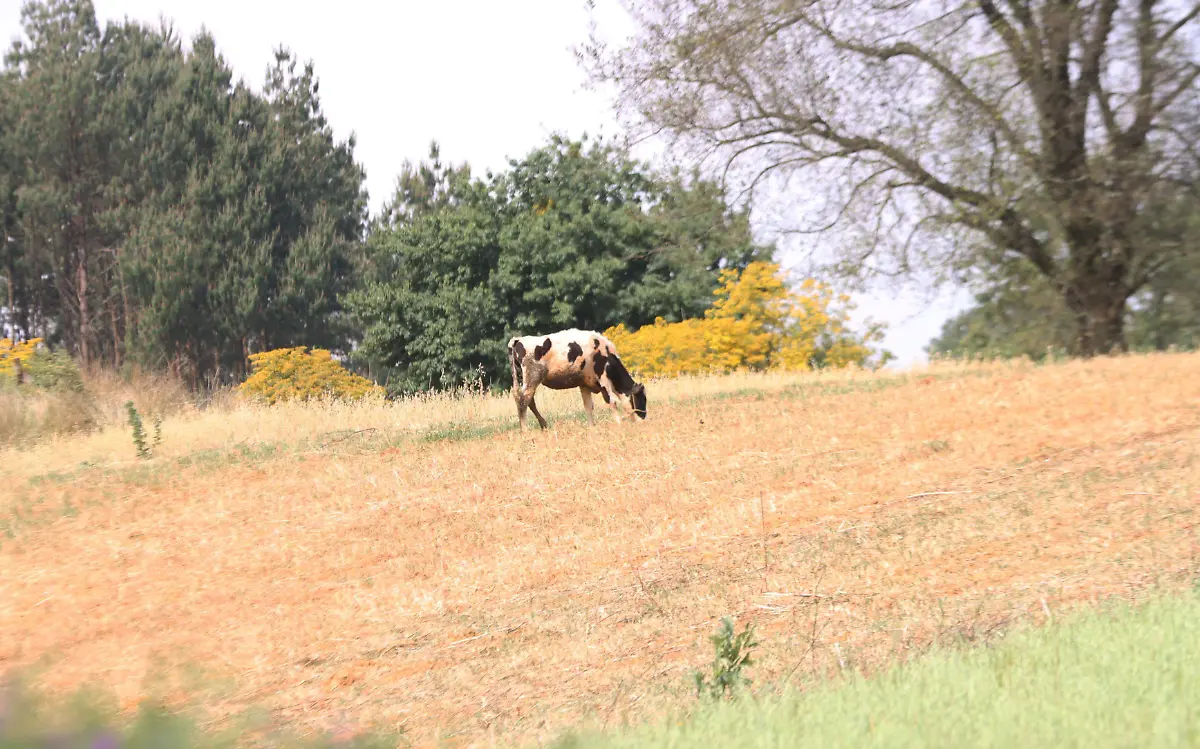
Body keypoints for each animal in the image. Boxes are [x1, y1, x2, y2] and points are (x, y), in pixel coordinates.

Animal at [506, 328, 648, 432]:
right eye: (642, 399)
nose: (644, 419)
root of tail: (518, 340)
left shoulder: (584, 384)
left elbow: (588, 406)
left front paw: (592, 428)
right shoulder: (603, 378)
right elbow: (612, 401)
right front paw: (619, 424)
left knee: (528, 401)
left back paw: (543, 425)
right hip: (533, 377)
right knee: (524, 400)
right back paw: (525, 430)